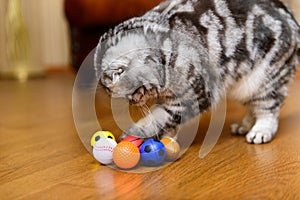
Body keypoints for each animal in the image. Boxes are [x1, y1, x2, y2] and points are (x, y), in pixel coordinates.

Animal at [94, 0, 300, 144]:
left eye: (128, 94)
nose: (131, 102)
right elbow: (166, 120)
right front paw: (166, 136)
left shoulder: (192, 95)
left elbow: (159, 116)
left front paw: (138, 131)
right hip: (242, 86)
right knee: (253, 106)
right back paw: (244, 125)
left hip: (264, 80)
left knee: (268, 109)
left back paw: (260, 131)